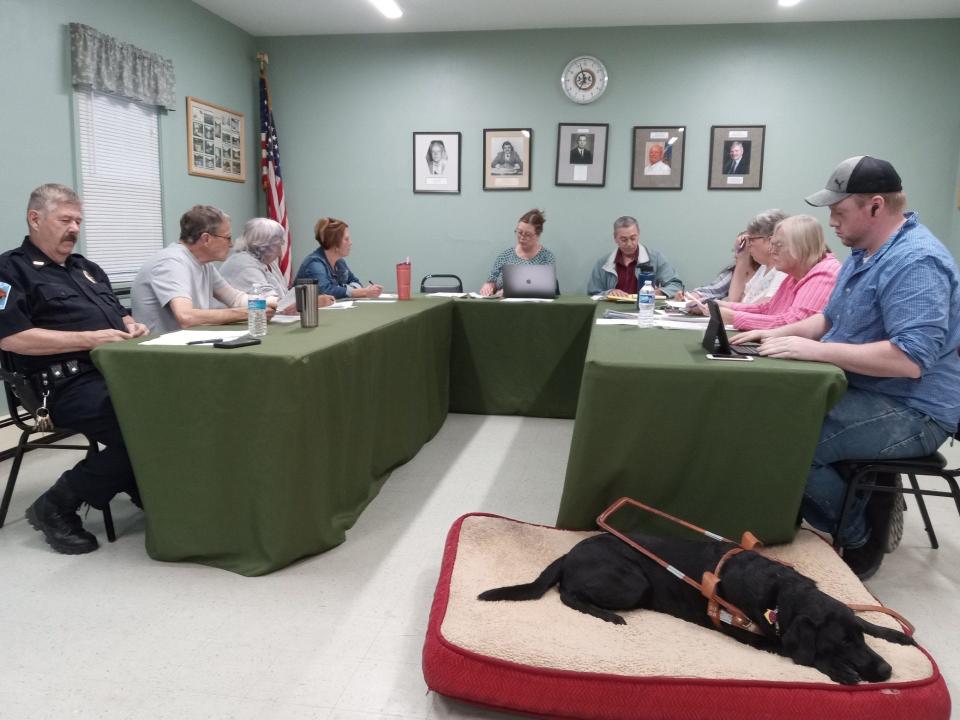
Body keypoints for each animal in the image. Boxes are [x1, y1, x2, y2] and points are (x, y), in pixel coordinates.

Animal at [480, 532, 916, 684]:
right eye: (839, 644)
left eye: (856, 639)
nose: (886, 671)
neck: (780, 594)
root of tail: (569, 552)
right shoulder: (754, 635)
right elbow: (800, 652)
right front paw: (840, 671)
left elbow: (863, 616)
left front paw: (895, 634)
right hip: (632, 582)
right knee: (567, 594)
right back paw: (608, 615)